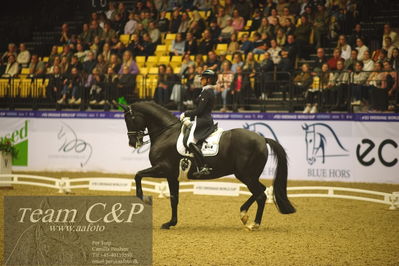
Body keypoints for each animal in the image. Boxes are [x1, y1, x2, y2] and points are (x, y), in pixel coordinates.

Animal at [120, 102, 296, 231]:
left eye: (130, 119)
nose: (132, 143)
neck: (166, 133)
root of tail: (262, 139)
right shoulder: (172, 176)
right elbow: (174, 199)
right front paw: (170, 223)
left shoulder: (163, 169)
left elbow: (138, 175)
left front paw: (145, 199)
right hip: (249, 175)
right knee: (262, 191)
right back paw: (244, 215)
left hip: (246, 175)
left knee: (261, 195)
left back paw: (254, 224)